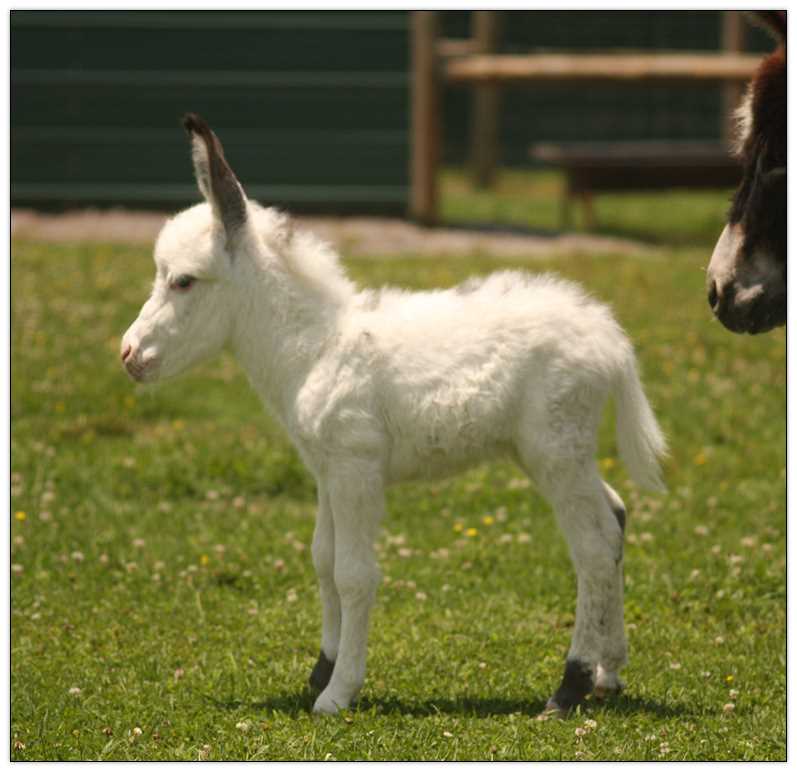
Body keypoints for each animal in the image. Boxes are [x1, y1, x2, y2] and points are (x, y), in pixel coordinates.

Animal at [121, 114, 667, 716]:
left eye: (183, 281)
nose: (128, 355)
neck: (316, 345)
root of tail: (608, 335)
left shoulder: (355, 466)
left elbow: (353, 574)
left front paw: (338, 693)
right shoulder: (326, 470)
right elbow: (322, 559)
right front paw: (322, 668)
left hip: (555, 449)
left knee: (593, 546)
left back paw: (569, 685)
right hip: (554, 451)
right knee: (615, 515)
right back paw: (609, 670)